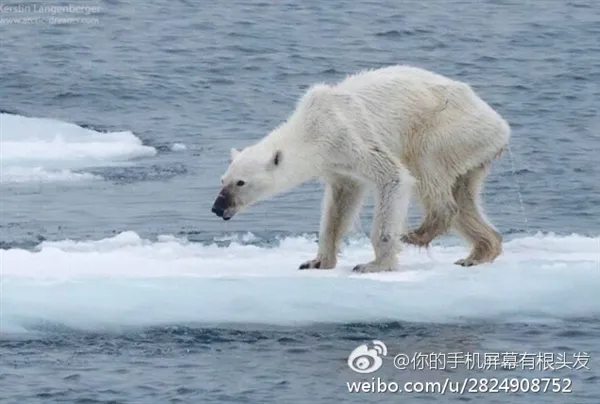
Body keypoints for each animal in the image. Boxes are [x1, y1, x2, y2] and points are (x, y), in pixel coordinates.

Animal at [211, 64, 510, 274]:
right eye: (222, 179)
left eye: (240, 182)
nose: (217, 208)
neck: (312, 127)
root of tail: (500, 125)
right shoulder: (337, 165)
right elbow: (340, 204)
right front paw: (316, 261)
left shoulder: (349, 137)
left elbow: (393, 177)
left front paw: (374, 264)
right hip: (472, 151)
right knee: (464, 196)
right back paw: (479, 252)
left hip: (448, 128)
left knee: (426, 167)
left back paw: (418, 233)